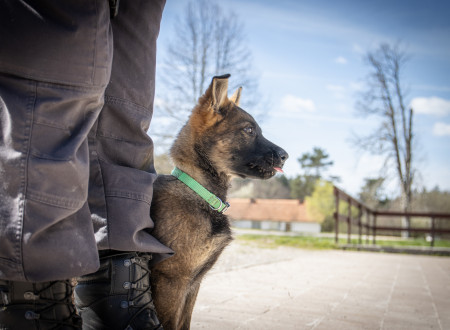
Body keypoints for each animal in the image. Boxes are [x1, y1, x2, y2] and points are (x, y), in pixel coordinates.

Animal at [149, 75, 288, 330]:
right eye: (249, 130)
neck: (199, 190)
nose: (286, 156)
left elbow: (184, 324)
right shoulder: (172, 281)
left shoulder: (193, 285)